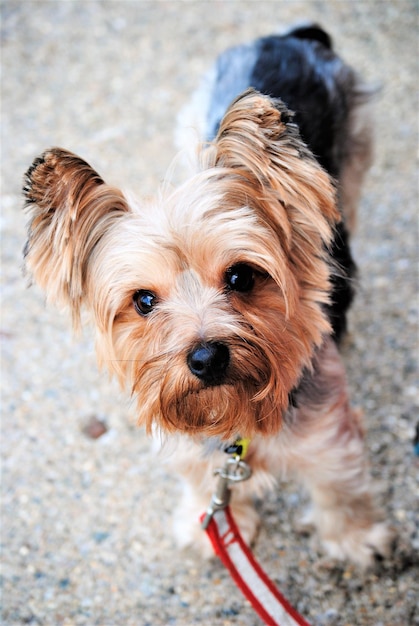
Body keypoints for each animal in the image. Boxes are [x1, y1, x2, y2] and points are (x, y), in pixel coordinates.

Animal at [22, 24, 394, 564]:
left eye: (241, 277)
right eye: (144, 301)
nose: (205, 358)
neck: (233, 420)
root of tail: (289, 36)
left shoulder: (329, 434)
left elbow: (340, 486)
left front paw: (355, 539)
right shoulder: (190, 446)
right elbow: (201, 483)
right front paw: (210, 526)